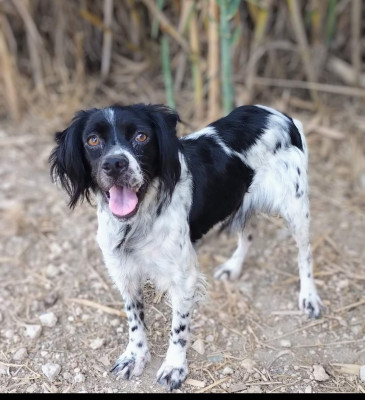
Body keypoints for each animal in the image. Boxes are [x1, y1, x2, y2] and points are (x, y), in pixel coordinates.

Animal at [49, 103, 322, 390]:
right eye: (92, 140)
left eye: (141, 137)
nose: (114, 163)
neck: (138, 220)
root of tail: (281, 114)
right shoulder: (122, 271)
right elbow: (134, 320)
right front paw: (135, 356)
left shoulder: (183, 278)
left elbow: (178, 328)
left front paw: (174, 367)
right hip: (241, 200)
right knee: (248, 235)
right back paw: (233, 267)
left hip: (295, 208)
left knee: (305, 254)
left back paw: (309, 297)